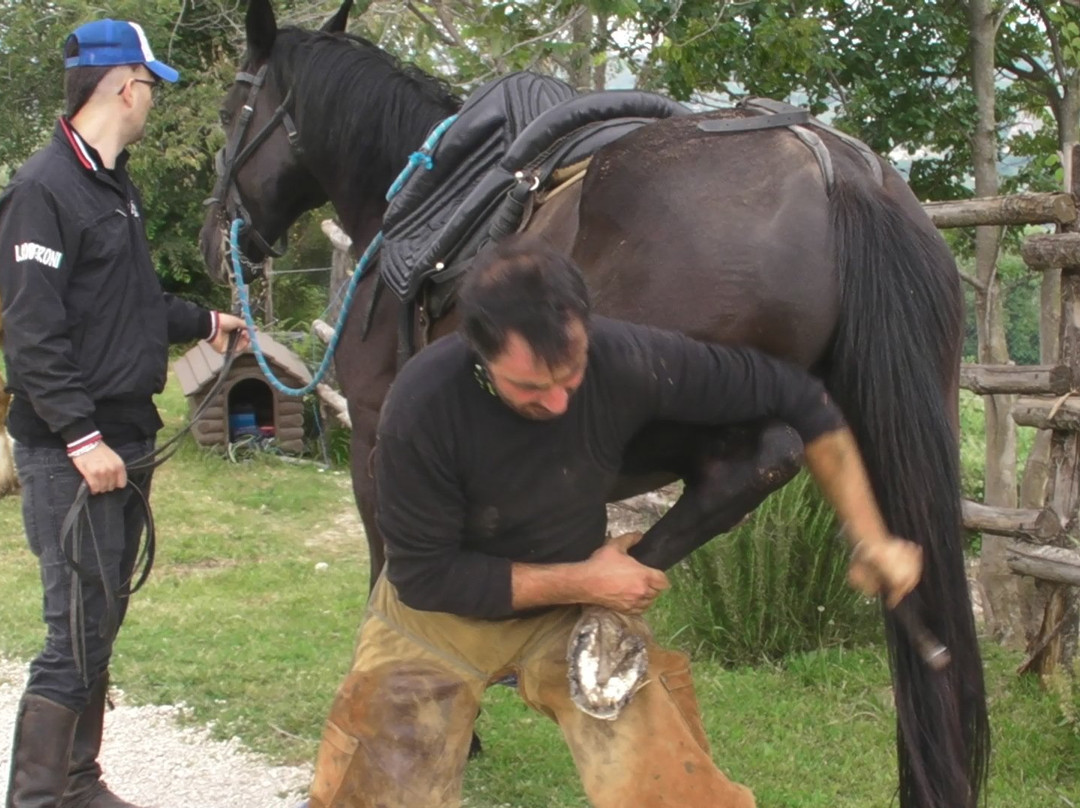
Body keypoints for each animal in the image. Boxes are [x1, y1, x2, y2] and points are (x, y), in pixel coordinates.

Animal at [200, 3, 989, 803]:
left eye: (233, 110)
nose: (213, 238)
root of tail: (835, 169)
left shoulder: (378, 441)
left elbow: (390, 572)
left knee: (753, 462)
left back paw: (601, 601)